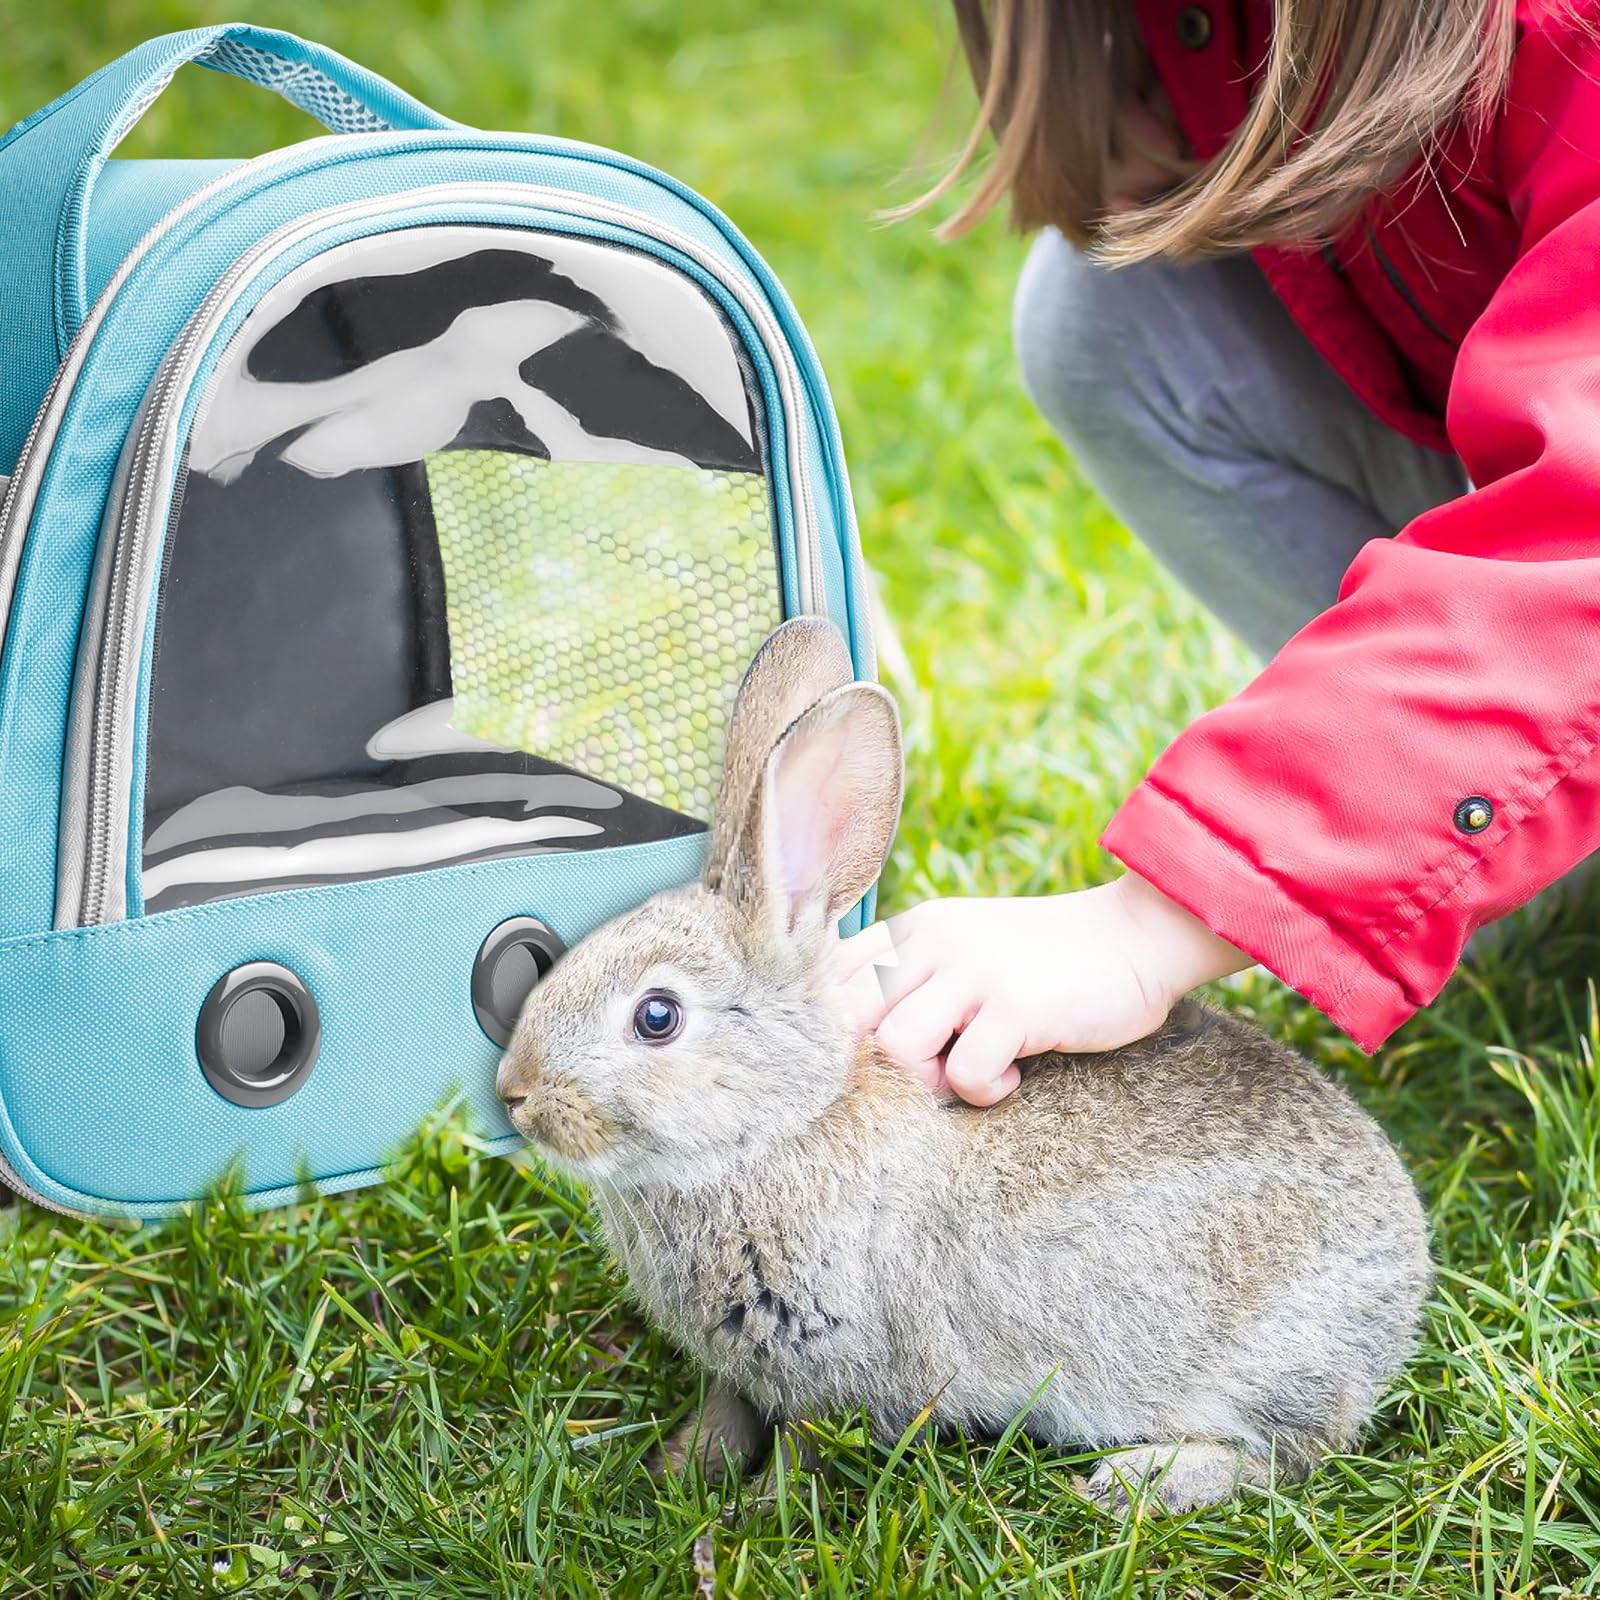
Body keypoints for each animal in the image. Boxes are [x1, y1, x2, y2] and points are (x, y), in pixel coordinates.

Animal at [495, 616, 1432, 1514]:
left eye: (657, 1017)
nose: (516, 1096)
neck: (782, 1126)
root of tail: (1406, 1267)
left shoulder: (841, 1368)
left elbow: (805, 1447)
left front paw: (753, 1516)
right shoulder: (745, 1365)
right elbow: (727, 1410)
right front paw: (679, 1472)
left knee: (1293, 1454)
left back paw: (1141, 1482)